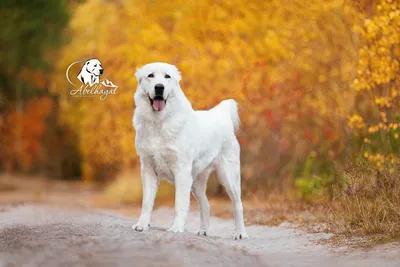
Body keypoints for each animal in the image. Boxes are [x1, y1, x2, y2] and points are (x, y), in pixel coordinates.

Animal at [133, 62, 248, 241]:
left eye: (167, 77)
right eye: (150, 75)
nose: (159, 87)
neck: (159, 122)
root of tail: (221, 116)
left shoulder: (181, 171)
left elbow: (179, 204)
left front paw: (176, 228)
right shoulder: (148, 169)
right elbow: (146, 202)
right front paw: (141, 225)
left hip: (228, 177)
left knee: (237, 204)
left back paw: (240, 233)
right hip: (195, 182)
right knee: (206, 204)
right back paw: (203, 231)